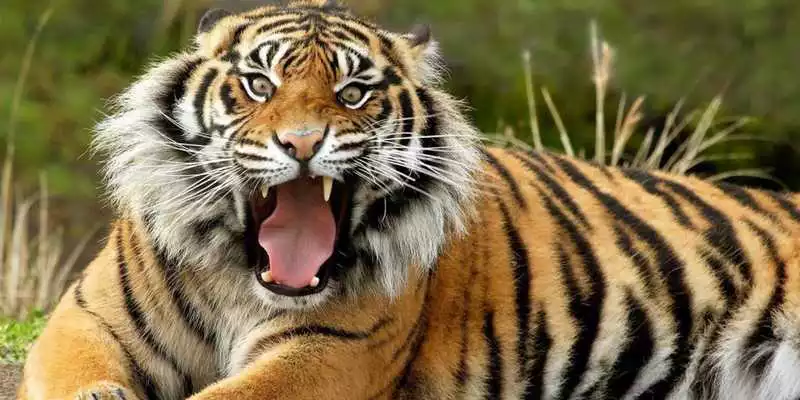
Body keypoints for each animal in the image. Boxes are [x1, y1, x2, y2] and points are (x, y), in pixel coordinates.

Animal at [16, 0, 800, 399]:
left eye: (353, 92)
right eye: (260, 85)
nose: (302, 143)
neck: (241, 278)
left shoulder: (329, 354)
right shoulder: (84, 322)